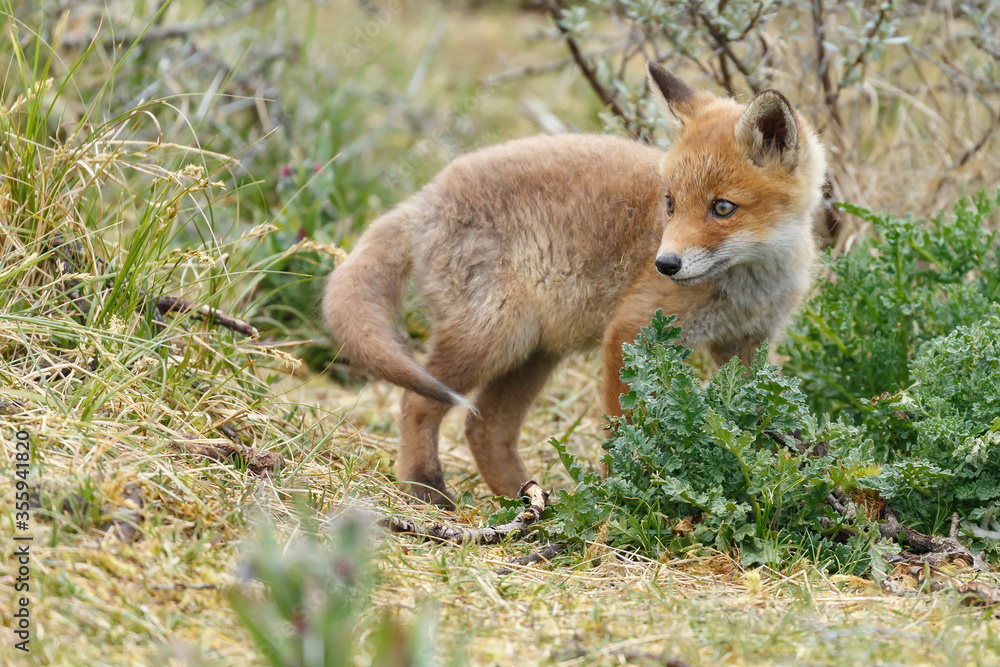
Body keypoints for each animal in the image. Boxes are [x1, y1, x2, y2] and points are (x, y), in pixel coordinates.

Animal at [322, 62, 826, 506]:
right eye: (670, 203)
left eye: (722, 208)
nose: (665, 264)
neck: (748, 284)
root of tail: (424, 197)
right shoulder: (631, 331)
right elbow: (623, 430)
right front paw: (623, 494)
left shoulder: (745, 344)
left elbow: (757, 416)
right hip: (493, 336)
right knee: (415, 403)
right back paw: (426, 489)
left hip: (534, 350)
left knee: (485, 427)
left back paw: (528, 500)